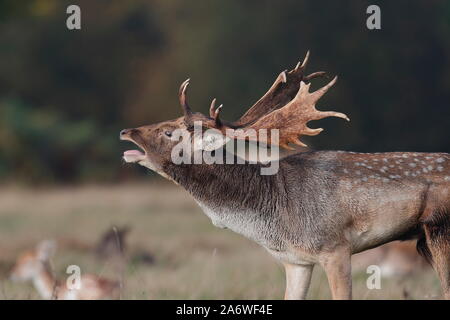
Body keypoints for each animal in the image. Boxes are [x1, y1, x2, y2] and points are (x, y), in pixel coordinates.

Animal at [120, 52, 450, 300]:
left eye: (169, 132)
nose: (126, 131)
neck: (275, 215)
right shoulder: (296, 261)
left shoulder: (335, 247)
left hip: (440, 231)